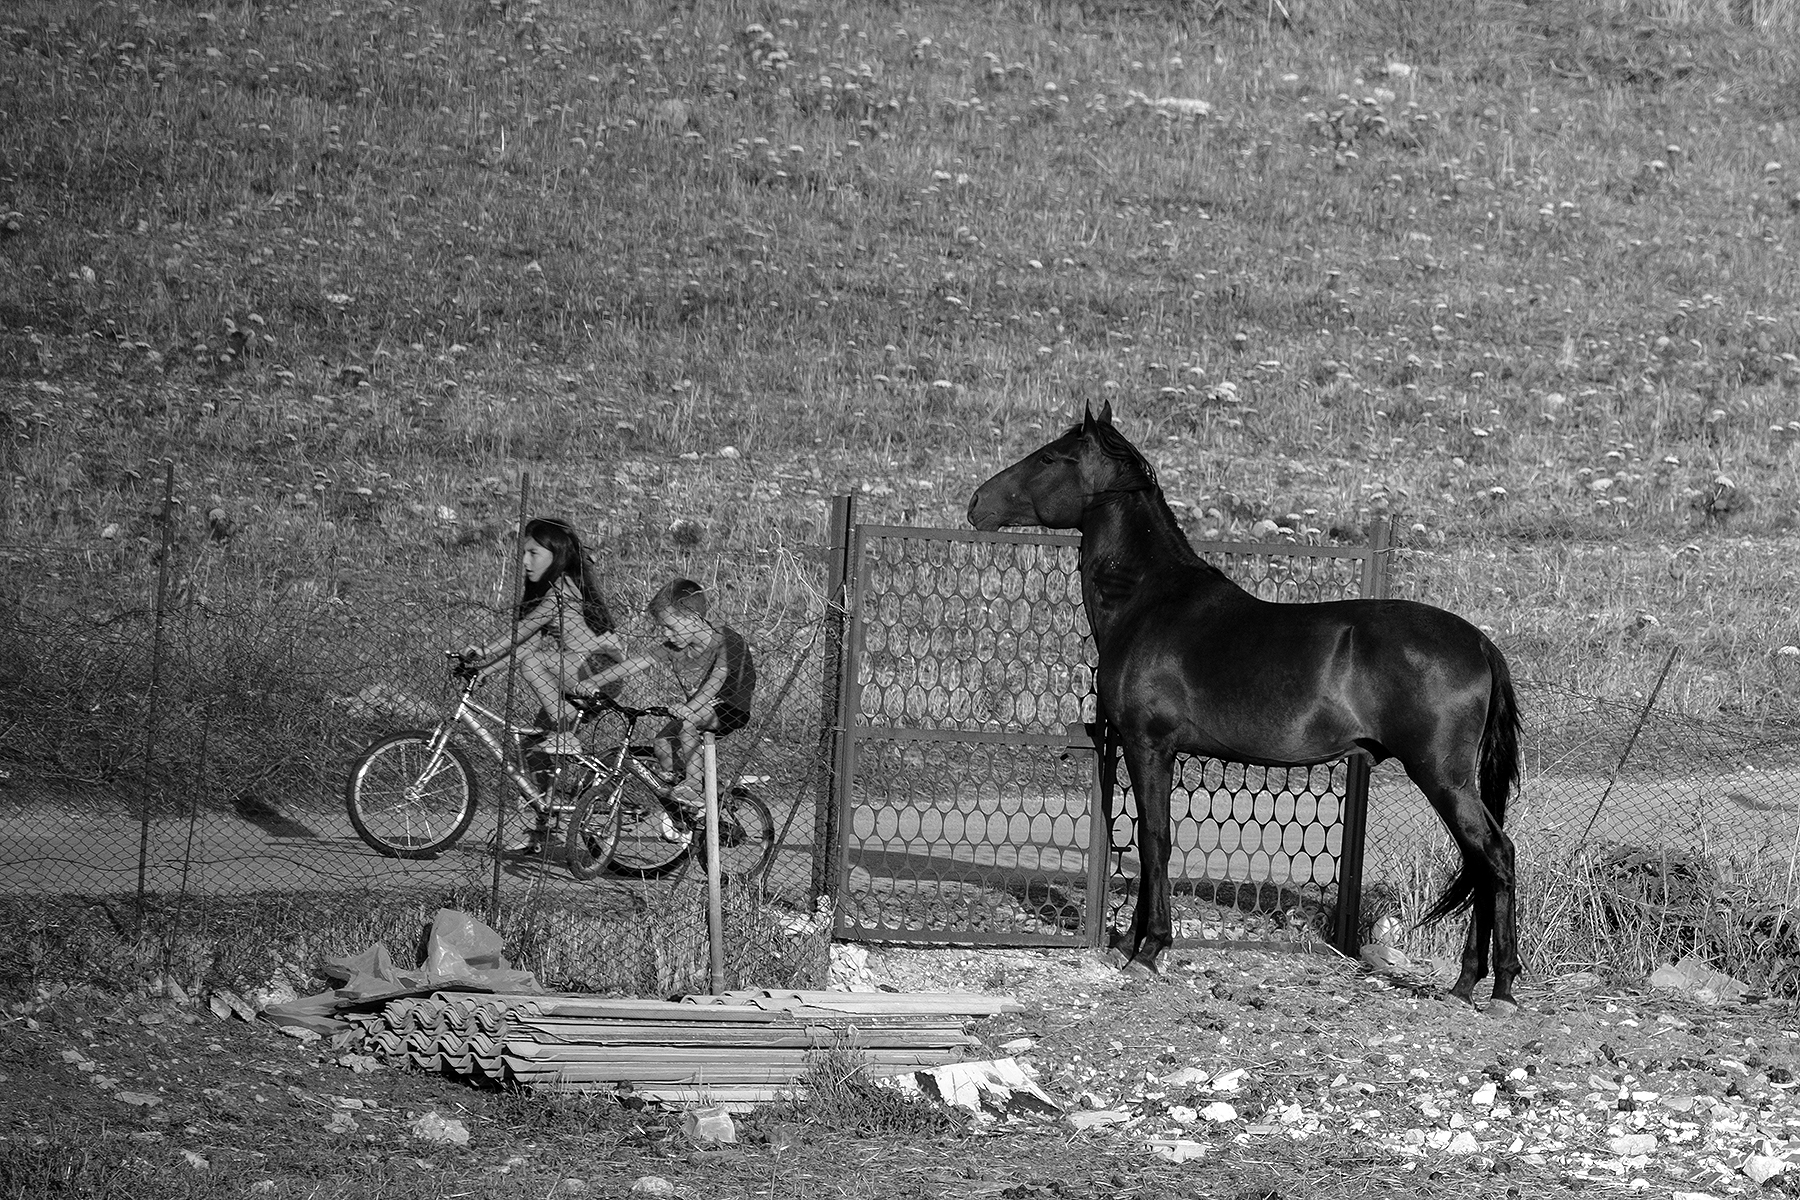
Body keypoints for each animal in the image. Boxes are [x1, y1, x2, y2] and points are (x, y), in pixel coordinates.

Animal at [967, 404, 1523, 1008]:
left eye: (1050, 457)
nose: (976, 503)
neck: (1150, 601)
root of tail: (1478, 642)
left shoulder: (1147, 745)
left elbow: (1155, 841)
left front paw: (1150, 950)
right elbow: (1150, 842)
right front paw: (1133, 944)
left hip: (1443, 777)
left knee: (1494, 855)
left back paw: (1497, 987)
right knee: (1480, 861)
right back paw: (1467, 983)